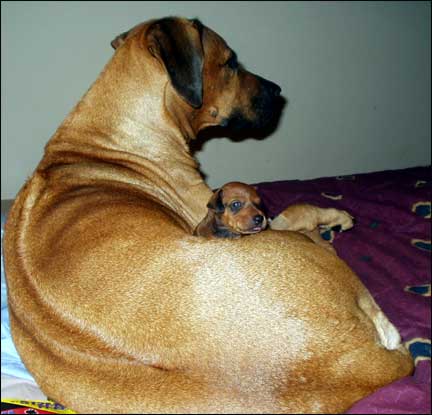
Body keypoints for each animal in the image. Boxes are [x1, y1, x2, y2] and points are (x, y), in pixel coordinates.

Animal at [5, 17, 414, 415]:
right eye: (231, 62)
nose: (279, 89)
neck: (112, 132)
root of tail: (355, 366)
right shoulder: (245, 214)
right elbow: (299, 208)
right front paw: (336, 214)